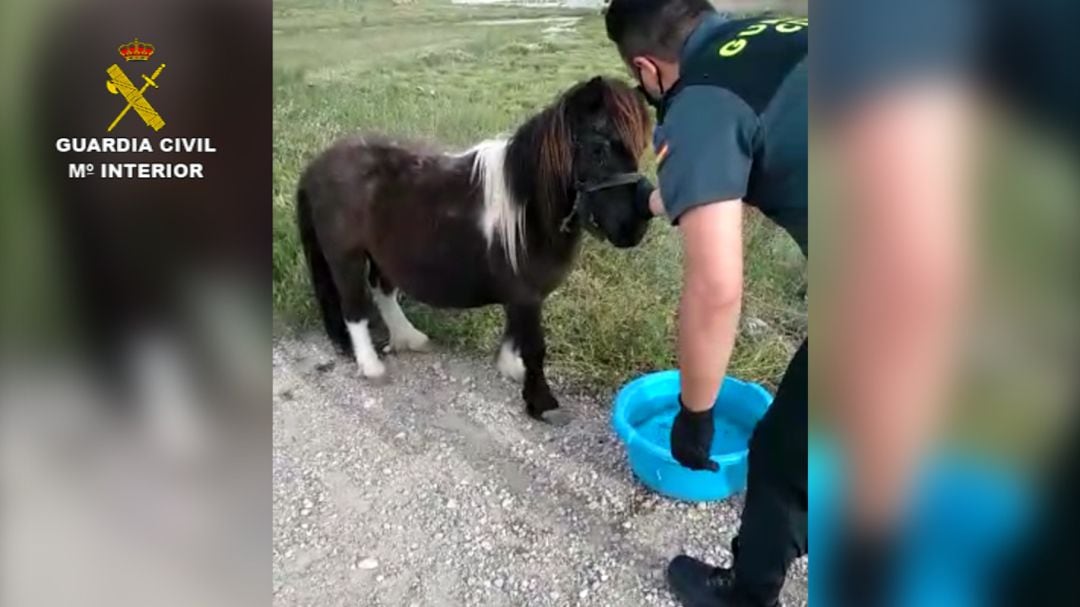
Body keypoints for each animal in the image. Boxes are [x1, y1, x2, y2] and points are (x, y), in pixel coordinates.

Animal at [293, 75, 648, 423]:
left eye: (639, 149)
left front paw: (511, 369)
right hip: (345, 258)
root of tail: (316, 165)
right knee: (354, 309)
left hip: (381, 254)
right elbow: (534, 347)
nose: (633, 227)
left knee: (383, 291)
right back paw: (371, 367)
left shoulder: (520, 295)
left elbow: (515, 335)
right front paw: (541, 402)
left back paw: (409, 337)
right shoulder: (526, 294)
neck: (526, 210)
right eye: (599, 148)